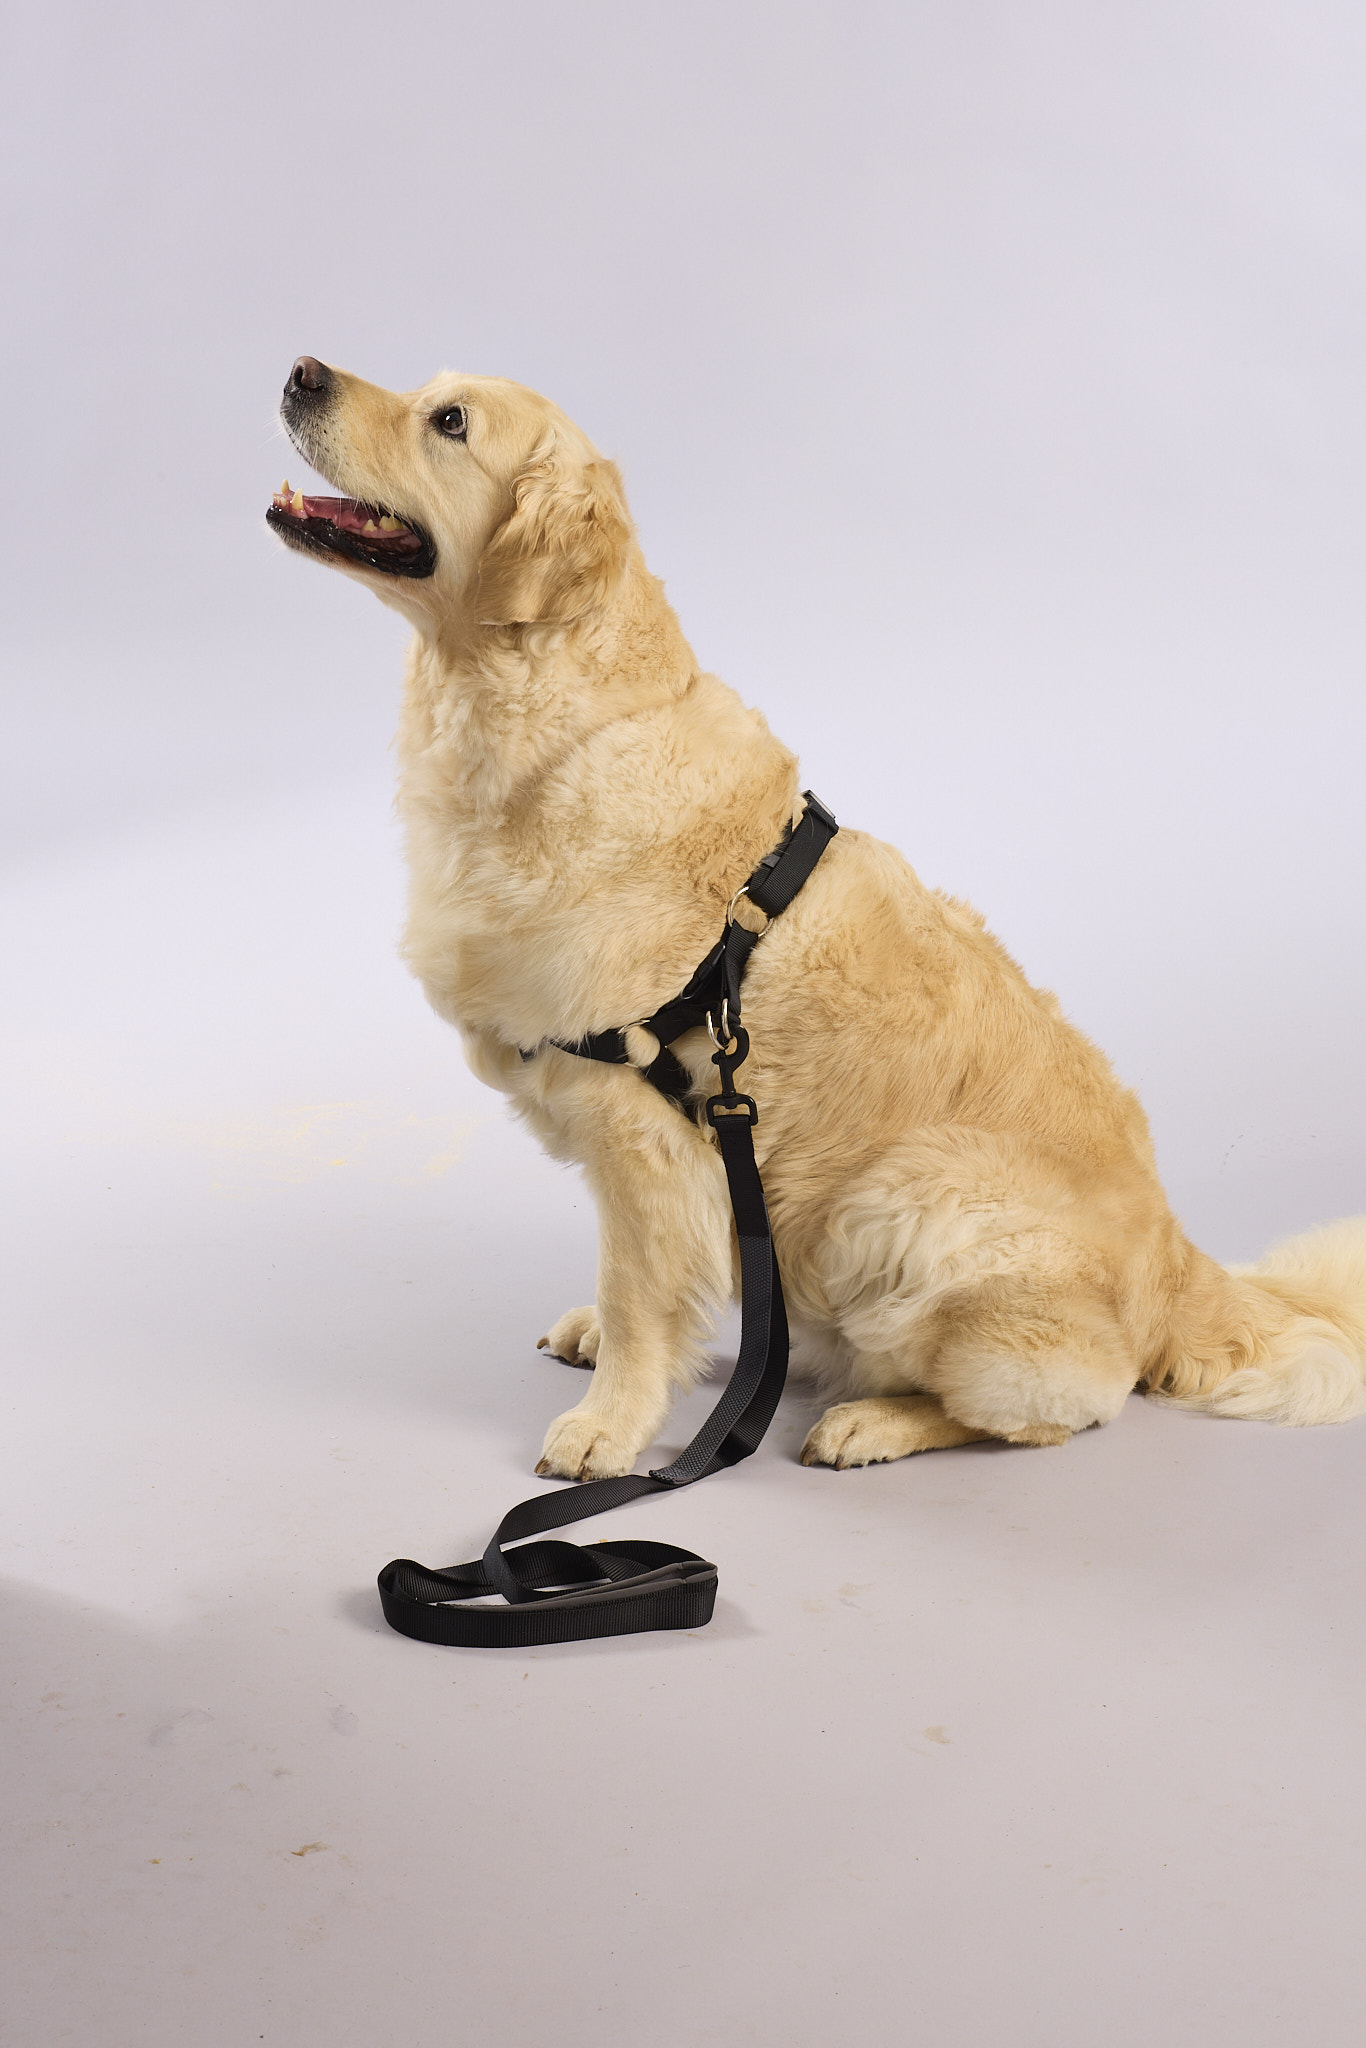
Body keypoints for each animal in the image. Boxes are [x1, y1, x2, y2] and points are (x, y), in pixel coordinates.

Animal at [269, 354, 1366, 1481]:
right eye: (428, 390)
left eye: (448, 421)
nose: (301, 372)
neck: (557, 724)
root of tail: (1184, 1270)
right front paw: (607, 1349)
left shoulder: (641, 1132)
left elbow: (638, 1292)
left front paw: (608, 1426)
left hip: (905, 1199)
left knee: (1059, 1408)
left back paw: (872, 1421)